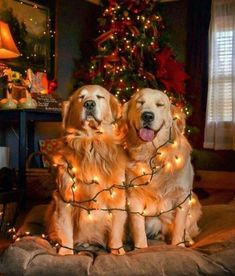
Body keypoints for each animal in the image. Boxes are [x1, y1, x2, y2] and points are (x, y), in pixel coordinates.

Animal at [45, 85, 126, 256]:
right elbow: (66, 229)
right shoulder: (65, 198)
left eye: (100, 97)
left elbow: (116, 229)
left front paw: (118, 251)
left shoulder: (117, 197)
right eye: (80, 97)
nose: (89, 104)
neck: (91, 143)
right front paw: (65, 252)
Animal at [122, 88, 201, 248]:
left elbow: (179, 226)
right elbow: (138, 228)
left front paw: (178, 246)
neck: (153, 156)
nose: (147, 115)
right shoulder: (133, 197)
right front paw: (141, 248)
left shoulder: (182, 196)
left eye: (160, 105)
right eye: (140, 102)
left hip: (194, 201)